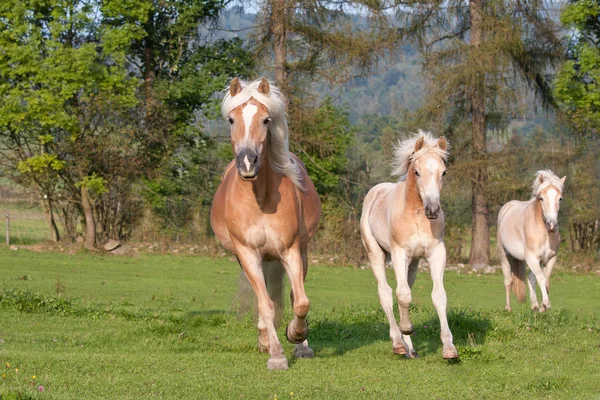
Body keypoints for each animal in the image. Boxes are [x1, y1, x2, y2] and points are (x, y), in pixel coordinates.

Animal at [211, 76, 324, 370]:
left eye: (266, 120)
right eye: (231, 119)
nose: (248, 162)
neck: (260, 199)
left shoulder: (290, 251)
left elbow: (300, 302)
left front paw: (296, 335)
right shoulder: (248, 254)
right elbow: (265, 304)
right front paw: (275, 354)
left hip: (300, 253)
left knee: (295, 296)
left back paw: (300, 344)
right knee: (264, 298)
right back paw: (264, 338)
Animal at [358, 131, 458, 360]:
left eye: (444, 172)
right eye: (417, 172)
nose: (432, 209)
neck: (417, 216)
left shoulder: (436, 253)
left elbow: (438, 296)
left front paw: (449, 348)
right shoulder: (399, 253)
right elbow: (402, 295)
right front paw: (406, 329)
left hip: (412, 263)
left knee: (403, 290)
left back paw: (410, 349)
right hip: (376, 254)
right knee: (387, 293)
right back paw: (398, 343)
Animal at [496, 169, 564, 312]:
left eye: (560, 198)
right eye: (541, 198)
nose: (552, 225)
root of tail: (507, 207)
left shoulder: (550, 259)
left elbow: (545, 281)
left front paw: (542, 307)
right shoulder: (532, 258)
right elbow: (541, 279)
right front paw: (547, 304)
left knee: (530, 278)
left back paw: (534, 306)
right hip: (505, 256)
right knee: (508, 281)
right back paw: (508, 308)